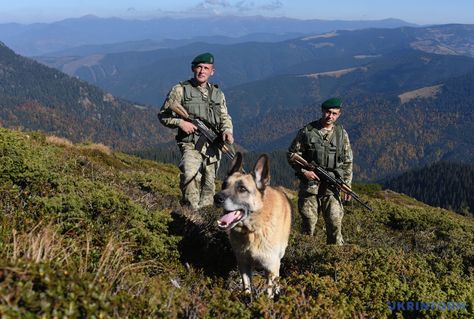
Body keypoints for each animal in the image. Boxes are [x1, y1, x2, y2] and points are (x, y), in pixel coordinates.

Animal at [214, 152, 288, 298]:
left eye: (242, 189)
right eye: (224, 185)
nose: (216, 198)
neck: (252, 230)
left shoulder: (270, 266)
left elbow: (268, 292)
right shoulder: (243, 264)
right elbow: (247, 288)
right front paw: (247, 299)